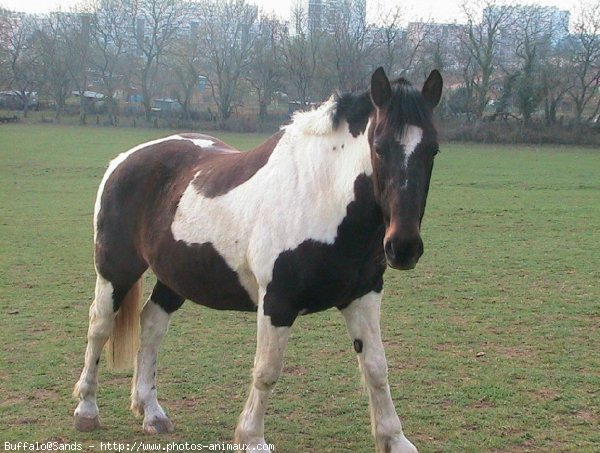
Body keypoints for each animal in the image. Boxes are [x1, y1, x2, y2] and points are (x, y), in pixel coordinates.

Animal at [74, 68, 440, 452]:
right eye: (379, 148)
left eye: (433, 149)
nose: (403, 246)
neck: (320, 195)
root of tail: (123, 160)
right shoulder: (277, 302)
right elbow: (267, 371)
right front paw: (251, 437)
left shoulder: (363, 296)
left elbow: (376, 367)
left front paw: (394, 438)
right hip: (116, 271)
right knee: (99, 326)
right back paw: (86, 410)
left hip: (174, 277)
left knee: (151, 325)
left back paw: (151, 412)